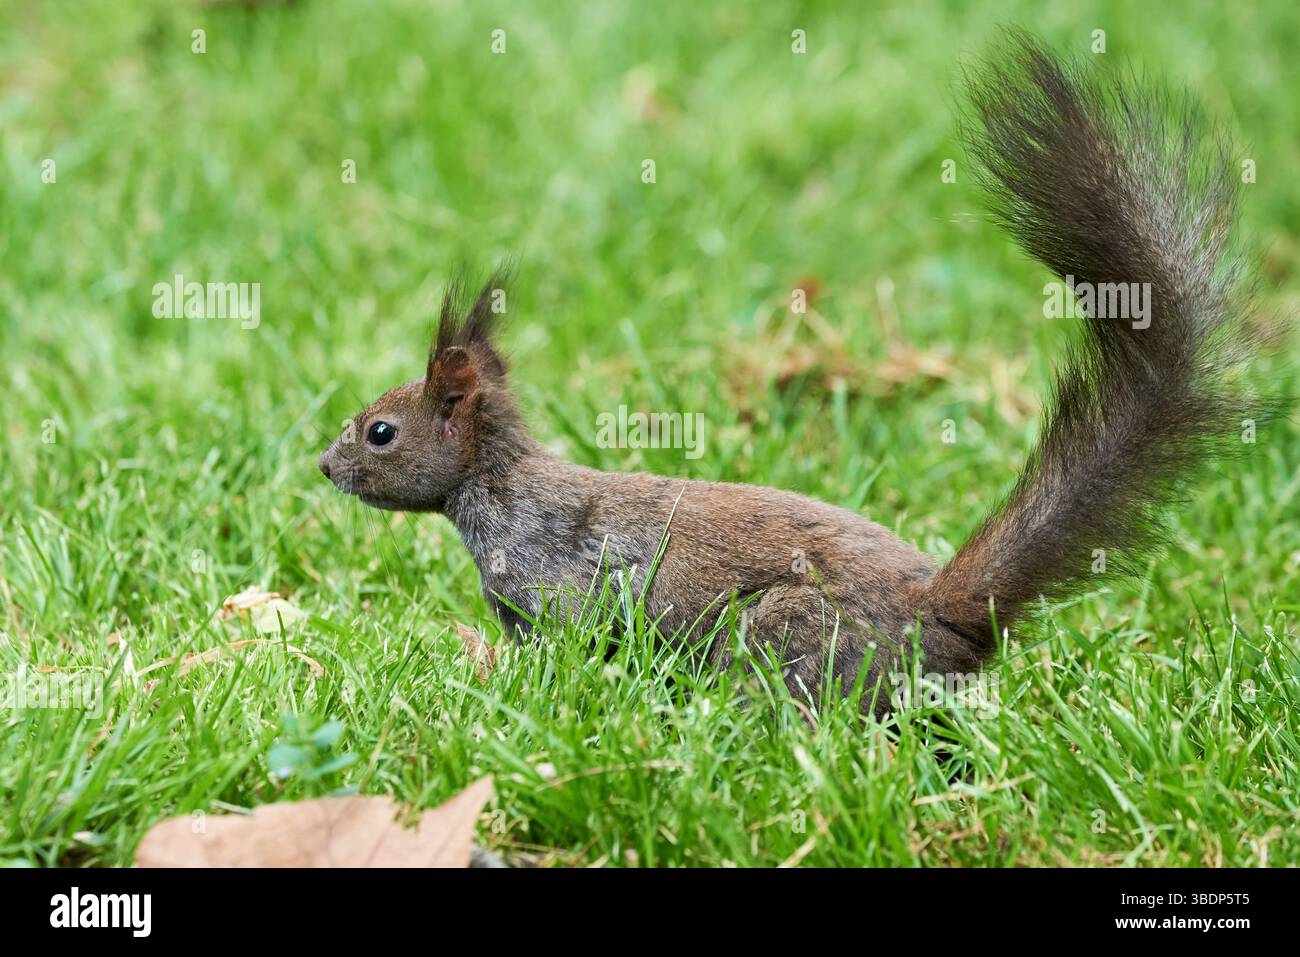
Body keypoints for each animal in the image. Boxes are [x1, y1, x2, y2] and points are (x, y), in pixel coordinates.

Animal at [319, 33, 1284, 716]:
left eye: (381, 431)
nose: (325, 466)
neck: (500, 490)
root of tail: (939, 611)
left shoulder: (557, 590)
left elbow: (567, 650)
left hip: (787, 632)